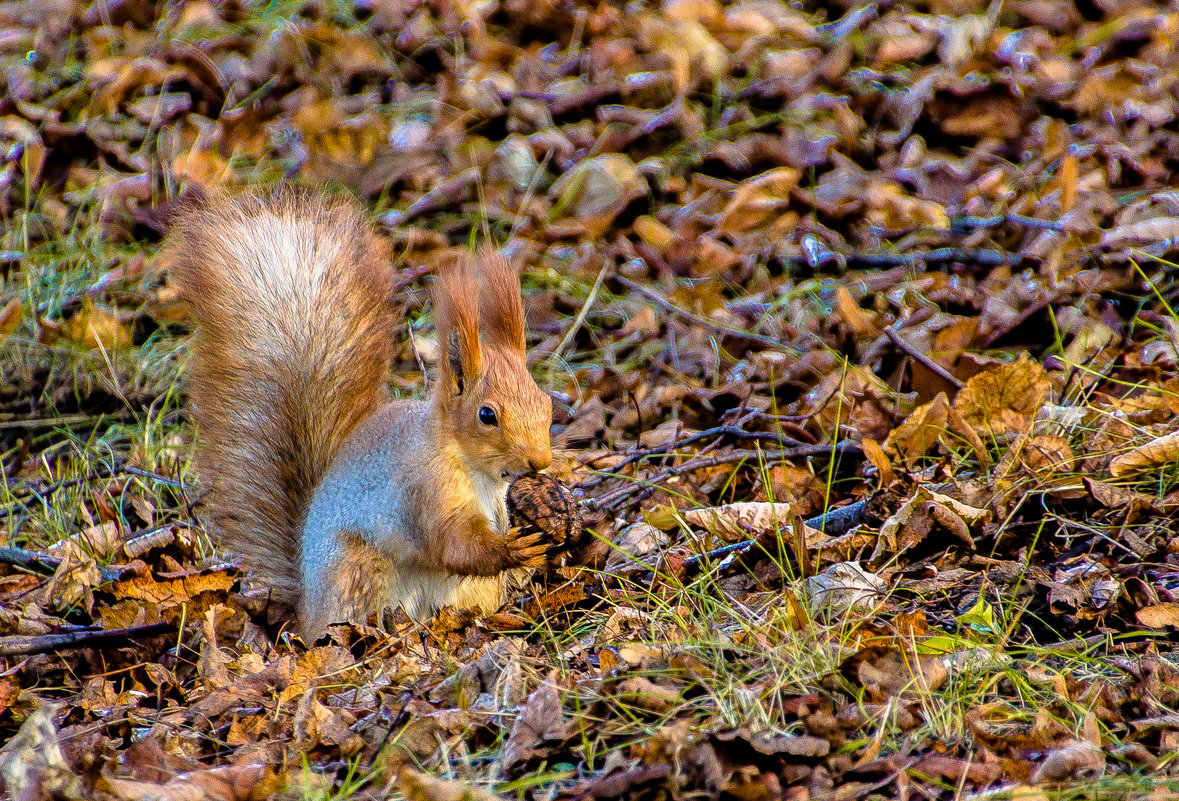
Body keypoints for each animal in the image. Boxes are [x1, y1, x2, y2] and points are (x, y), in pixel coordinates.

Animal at [168, 187, 554, 637]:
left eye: (546, 402)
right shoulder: (424, 491)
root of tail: (307, 609)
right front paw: (515, 548)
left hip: (468, 591)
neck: (474, 468)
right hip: (359, 569)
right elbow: (454, 545)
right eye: (487, 415)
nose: (541, 461)